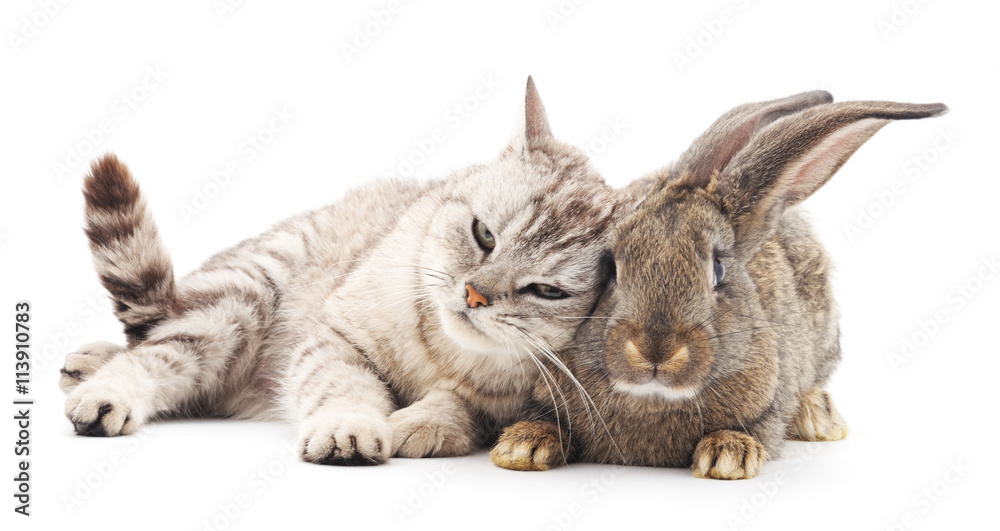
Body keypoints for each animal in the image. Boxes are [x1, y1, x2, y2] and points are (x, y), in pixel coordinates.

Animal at [490, 91, 948, 479]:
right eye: (612, 267)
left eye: (718, 271)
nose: (656, 351)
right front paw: (522, 447)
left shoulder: (768, 407)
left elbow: (757, 429)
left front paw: (729, 455)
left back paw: (819, 416)